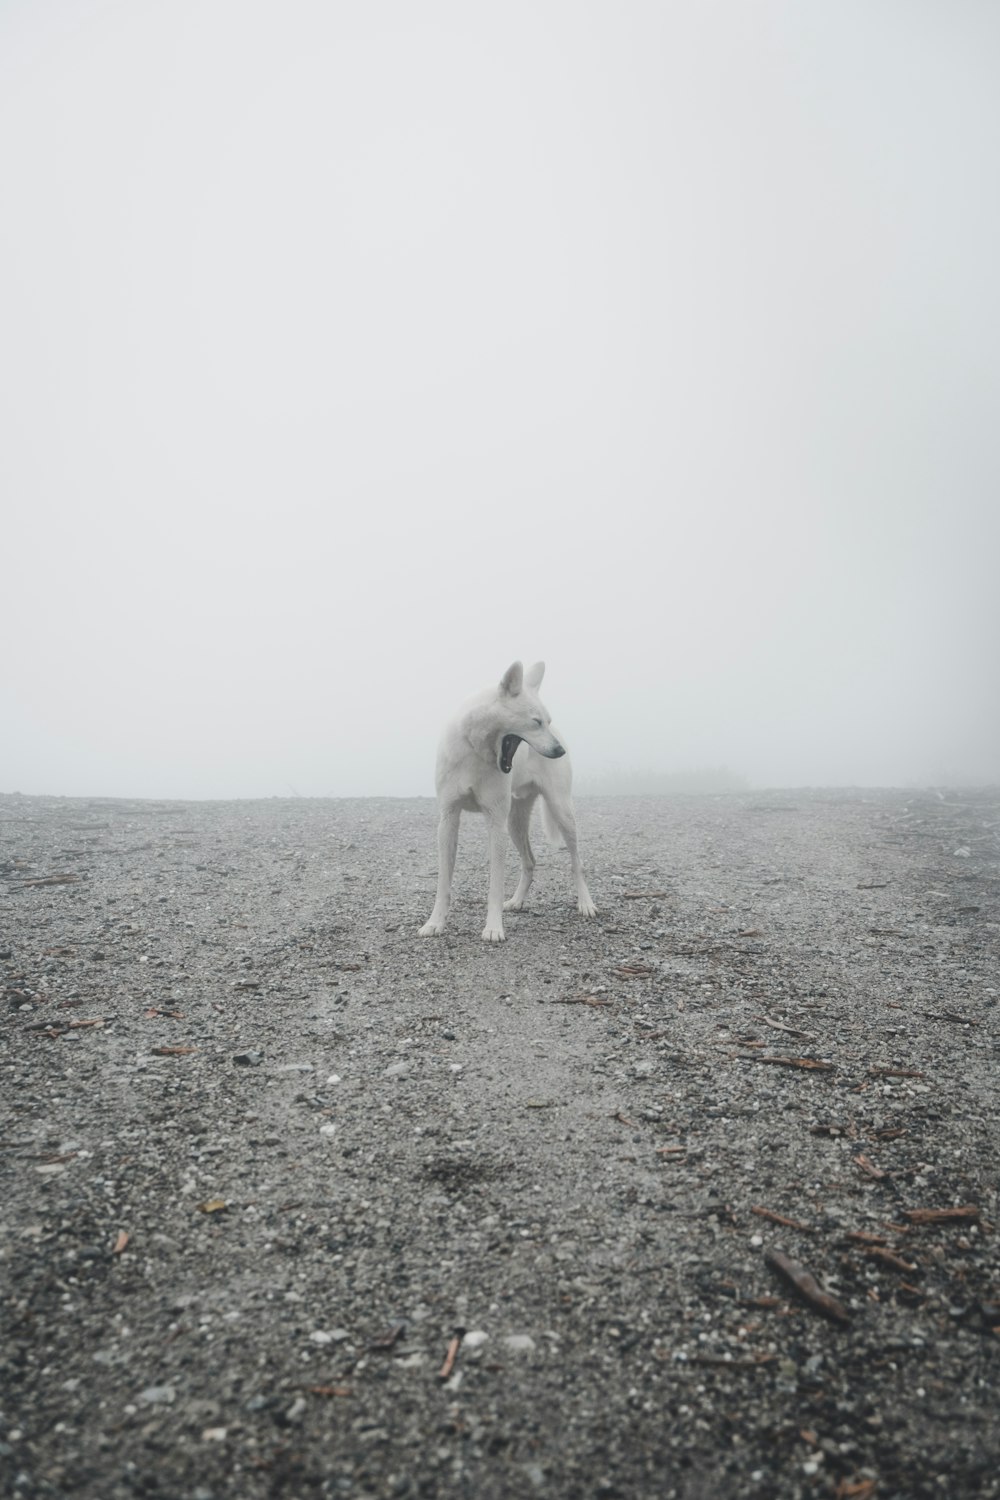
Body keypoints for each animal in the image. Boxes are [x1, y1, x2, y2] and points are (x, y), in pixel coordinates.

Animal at [419, 657, 599, 936]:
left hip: (560, 811)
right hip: (515, 823)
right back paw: (517, 901)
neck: (474, 749)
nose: (560, 751)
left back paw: (585, 903)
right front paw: (435, 922)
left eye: (547, 721)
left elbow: (495, 885)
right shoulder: (448, 819)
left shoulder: (495, 822)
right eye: (536, 722)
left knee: (576, 862)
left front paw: (493, 928)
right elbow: (443, 883)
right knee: (530, 861)